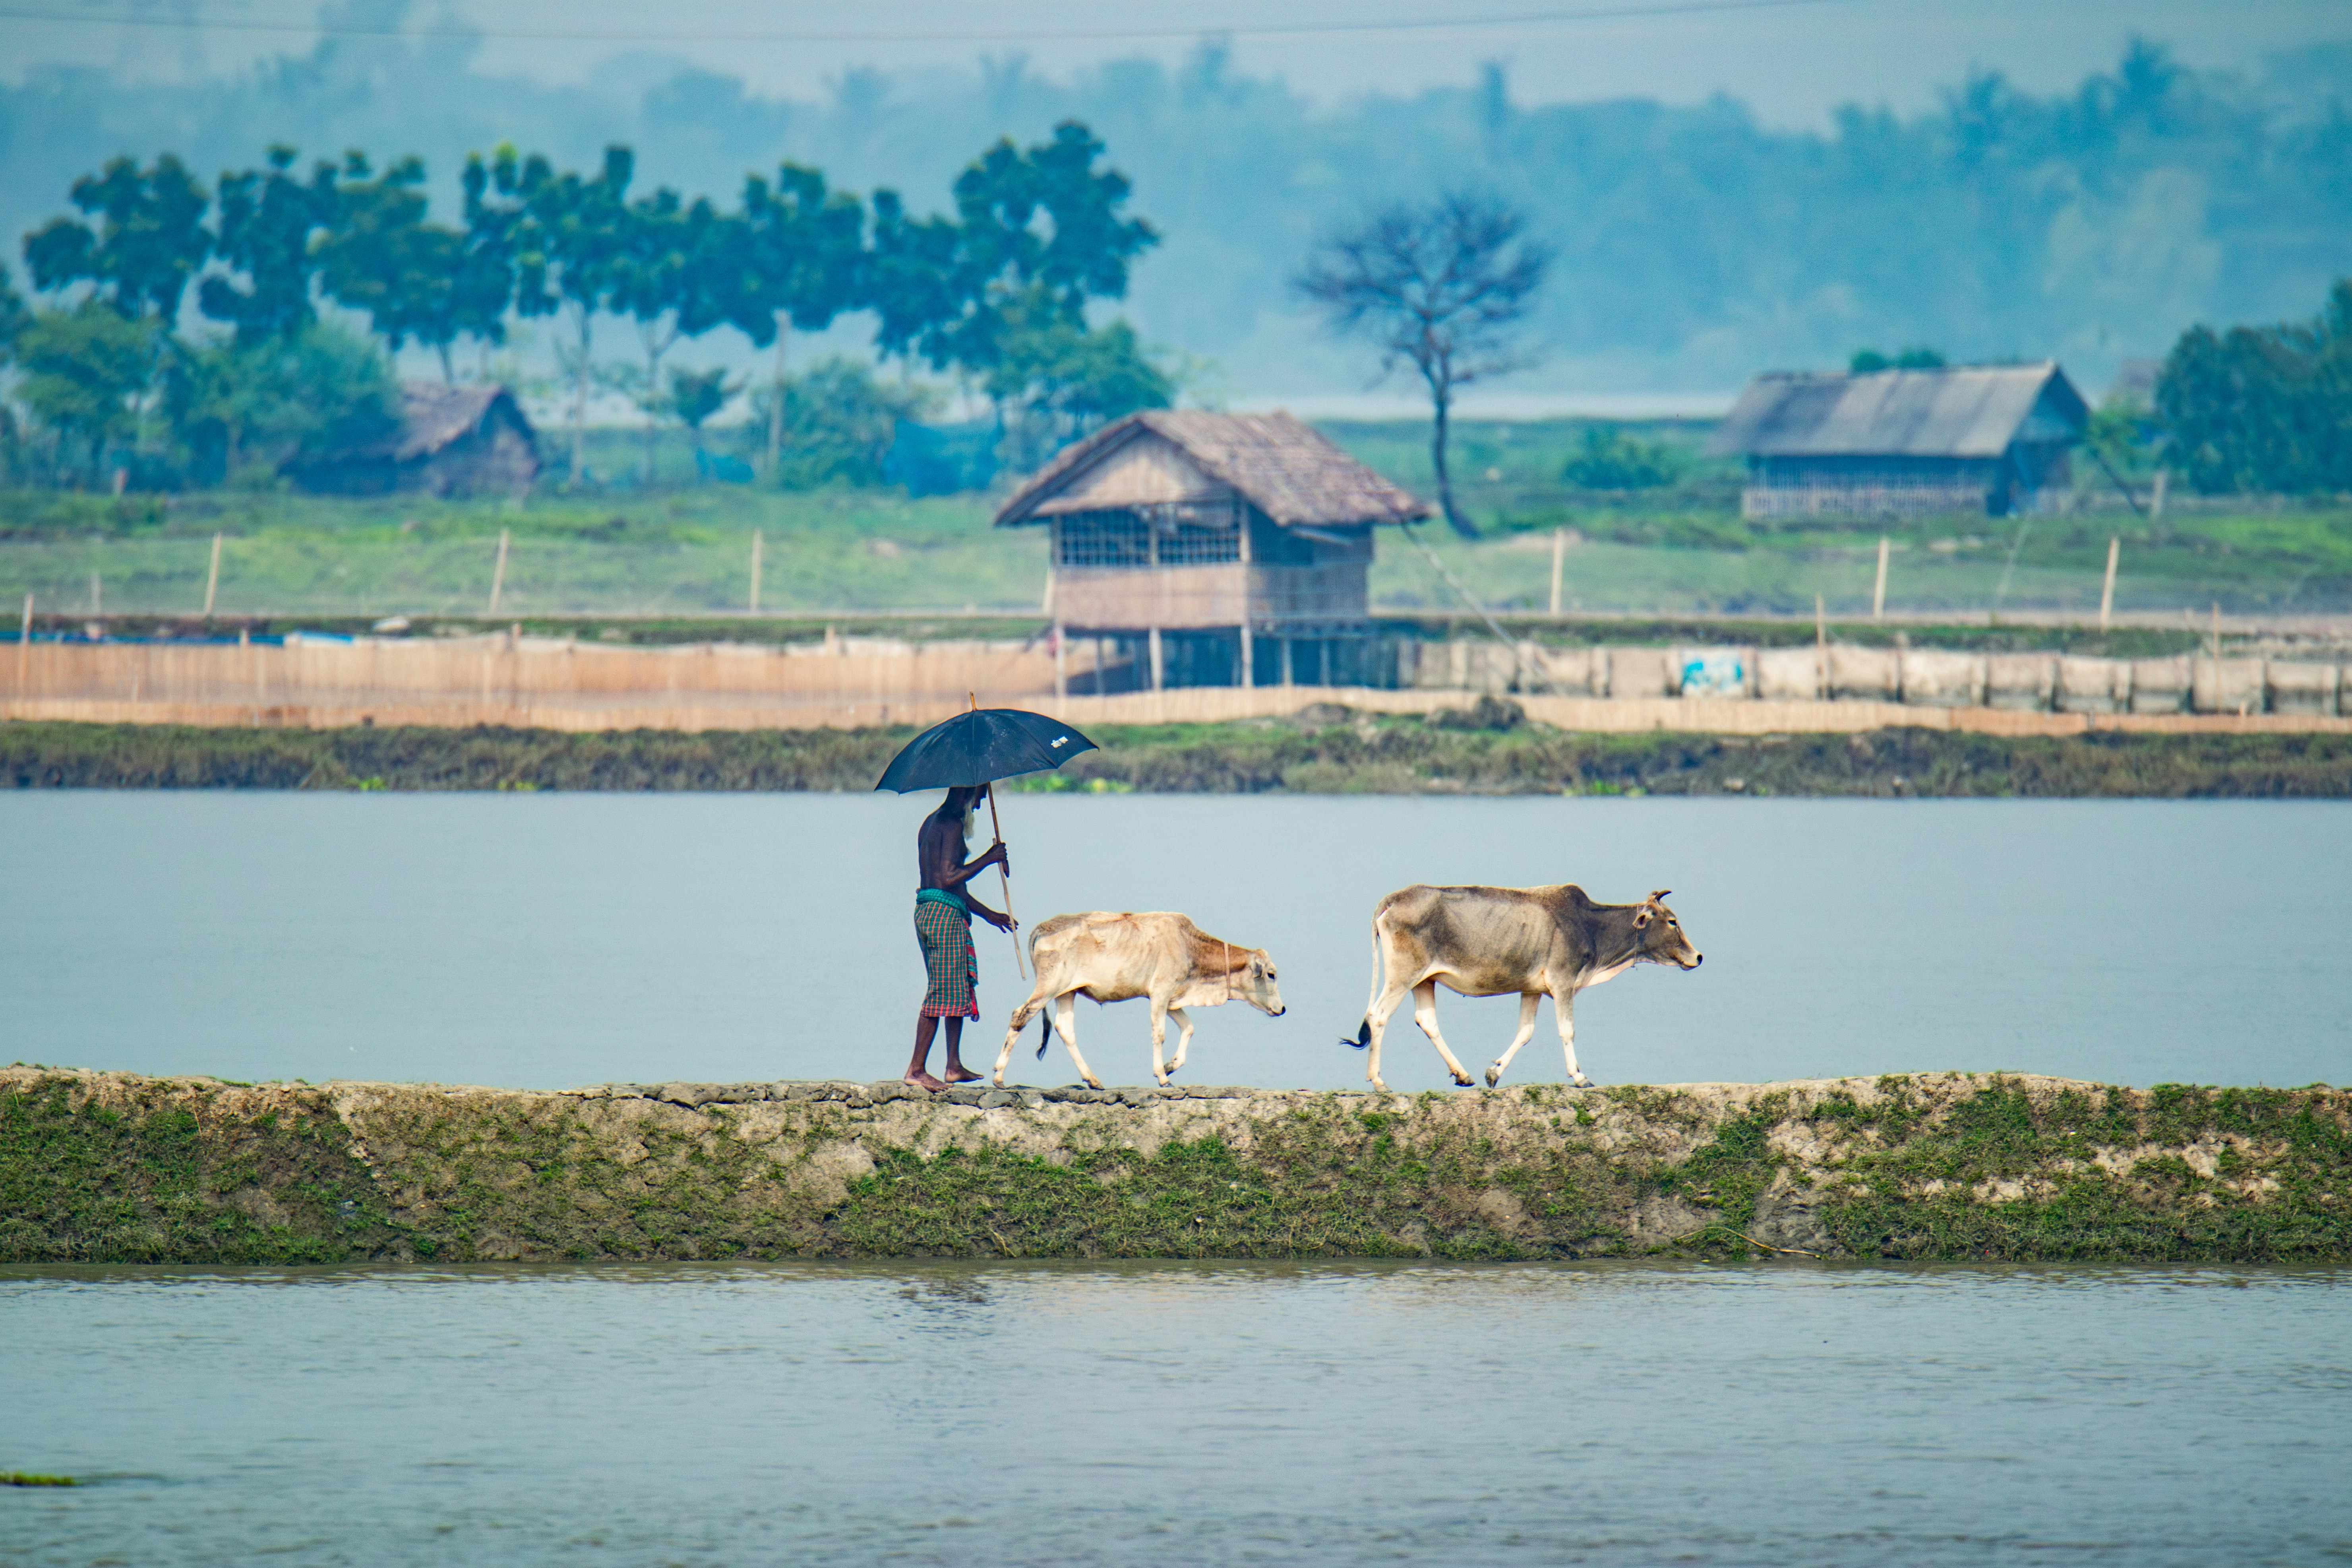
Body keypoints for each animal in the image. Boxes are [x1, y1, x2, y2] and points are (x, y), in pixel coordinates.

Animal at [992, 912, 1286, 1090]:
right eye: (1271, 974)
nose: (1282, 1009)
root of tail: (1045, 926)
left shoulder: (1172, 998)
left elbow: (1189, 1028)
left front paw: (1171, 1066)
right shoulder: (1160, 993)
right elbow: (1159, 1035)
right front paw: (1163, 1077)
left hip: (1066, 992)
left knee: (1065, 1028)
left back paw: (1093, 1080)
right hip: (1049, 987)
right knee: (1021, 1015)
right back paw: (998, 1076)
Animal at [1344, 885, 1701, 1092]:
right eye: (1672, 921)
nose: (1697, 956)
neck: (1591, 928)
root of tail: (1394, 898)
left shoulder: (1532, 989)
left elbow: (1525, 1032)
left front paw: (1493, 1073)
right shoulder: (1563, 982)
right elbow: (1567, 1031)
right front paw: (1580, 1077)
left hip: (1424, 979)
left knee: (1426, 1021)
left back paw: (1463, 1074)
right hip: (1403, 975)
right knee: (1377, 1015)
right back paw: (1379, 1082)